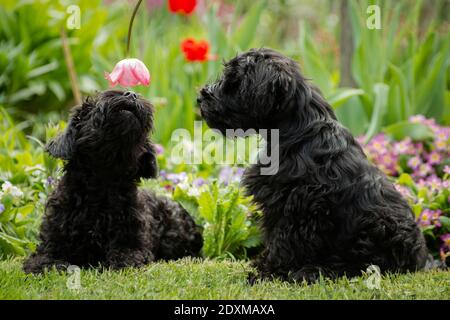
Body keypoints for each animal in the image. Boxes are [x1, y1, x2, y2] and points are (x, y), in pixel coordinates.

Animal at [22, 90, 202, 276]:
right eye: (91, 107)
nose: (131, 93)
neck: (102, 184)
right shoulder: (49, 245)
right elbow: (44, 261)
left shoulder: (133, 247)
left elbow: (123, 259)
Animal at [198, 48, 428, 282]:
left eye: (234, 82)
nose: (200, 97)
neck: (297, 132)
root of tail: (419, 260)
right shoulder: (278, 206)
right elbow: (273, 238)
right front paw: (262, 265)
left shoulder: (299, 207)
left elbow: (284, 243)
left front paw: (268, 273)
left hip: (378, 226)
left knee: (361, 266)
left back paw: (314, 270)